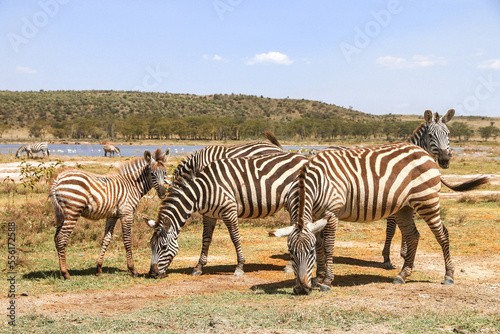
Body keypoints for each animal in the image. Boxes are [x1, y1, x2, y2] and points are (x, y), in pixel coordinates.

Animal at [49, 147, 170, 278]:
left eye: (165, 173)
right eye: (152, 174)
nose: (163, 194)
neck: (132, 186)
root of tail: (58, 178)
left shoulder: (112, 216)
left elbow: (106, 240)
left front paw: (98, 268)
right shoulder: (126, 213)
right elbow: (127, 240)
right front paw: (132, 269)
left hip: (62, 214)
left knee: (56, 238)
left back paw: (62, 271)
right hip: (72, 212)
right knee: (61, 238)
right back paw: (65, 273)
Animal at [145, 152, 308, 280]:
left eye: (164, 246)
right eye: (151, 245)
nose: (152, 274)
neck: (203, 190)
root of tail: (304, 157)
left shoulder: (229, 211)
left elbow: (235, 238)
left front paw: (240, 267)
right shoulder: (208, 215)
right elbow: (206, 240)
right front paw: (198, 267)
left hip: (296, 199)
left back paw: (290, 266)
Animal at [286, 142, 488, 294]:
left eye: (309, 253)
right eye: (291, 253)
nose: (302, 289)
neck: (315, 182)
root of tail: (425, 153)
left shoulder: (331, 213)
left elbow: (328, 246)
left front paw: (327, 281)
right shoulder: (316, 216)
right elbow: (320, 244)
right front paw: (318, 277)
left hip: (427, 201)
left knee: (442, 235)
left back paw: (449, 276)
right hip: (404, 208)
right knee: (413, 236)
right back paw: (402, 275)